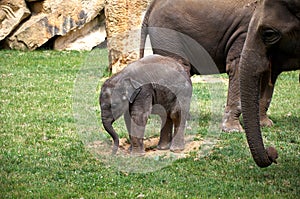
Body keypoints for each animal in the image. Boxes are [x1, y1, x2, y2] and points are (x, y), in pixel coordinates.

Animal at [139, 0, 276, 134]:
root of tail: (151, 6)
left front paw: (265, 124)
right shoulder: (245, 31)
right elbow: (237, 65)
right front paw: (234, 130)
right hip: (168, 34)